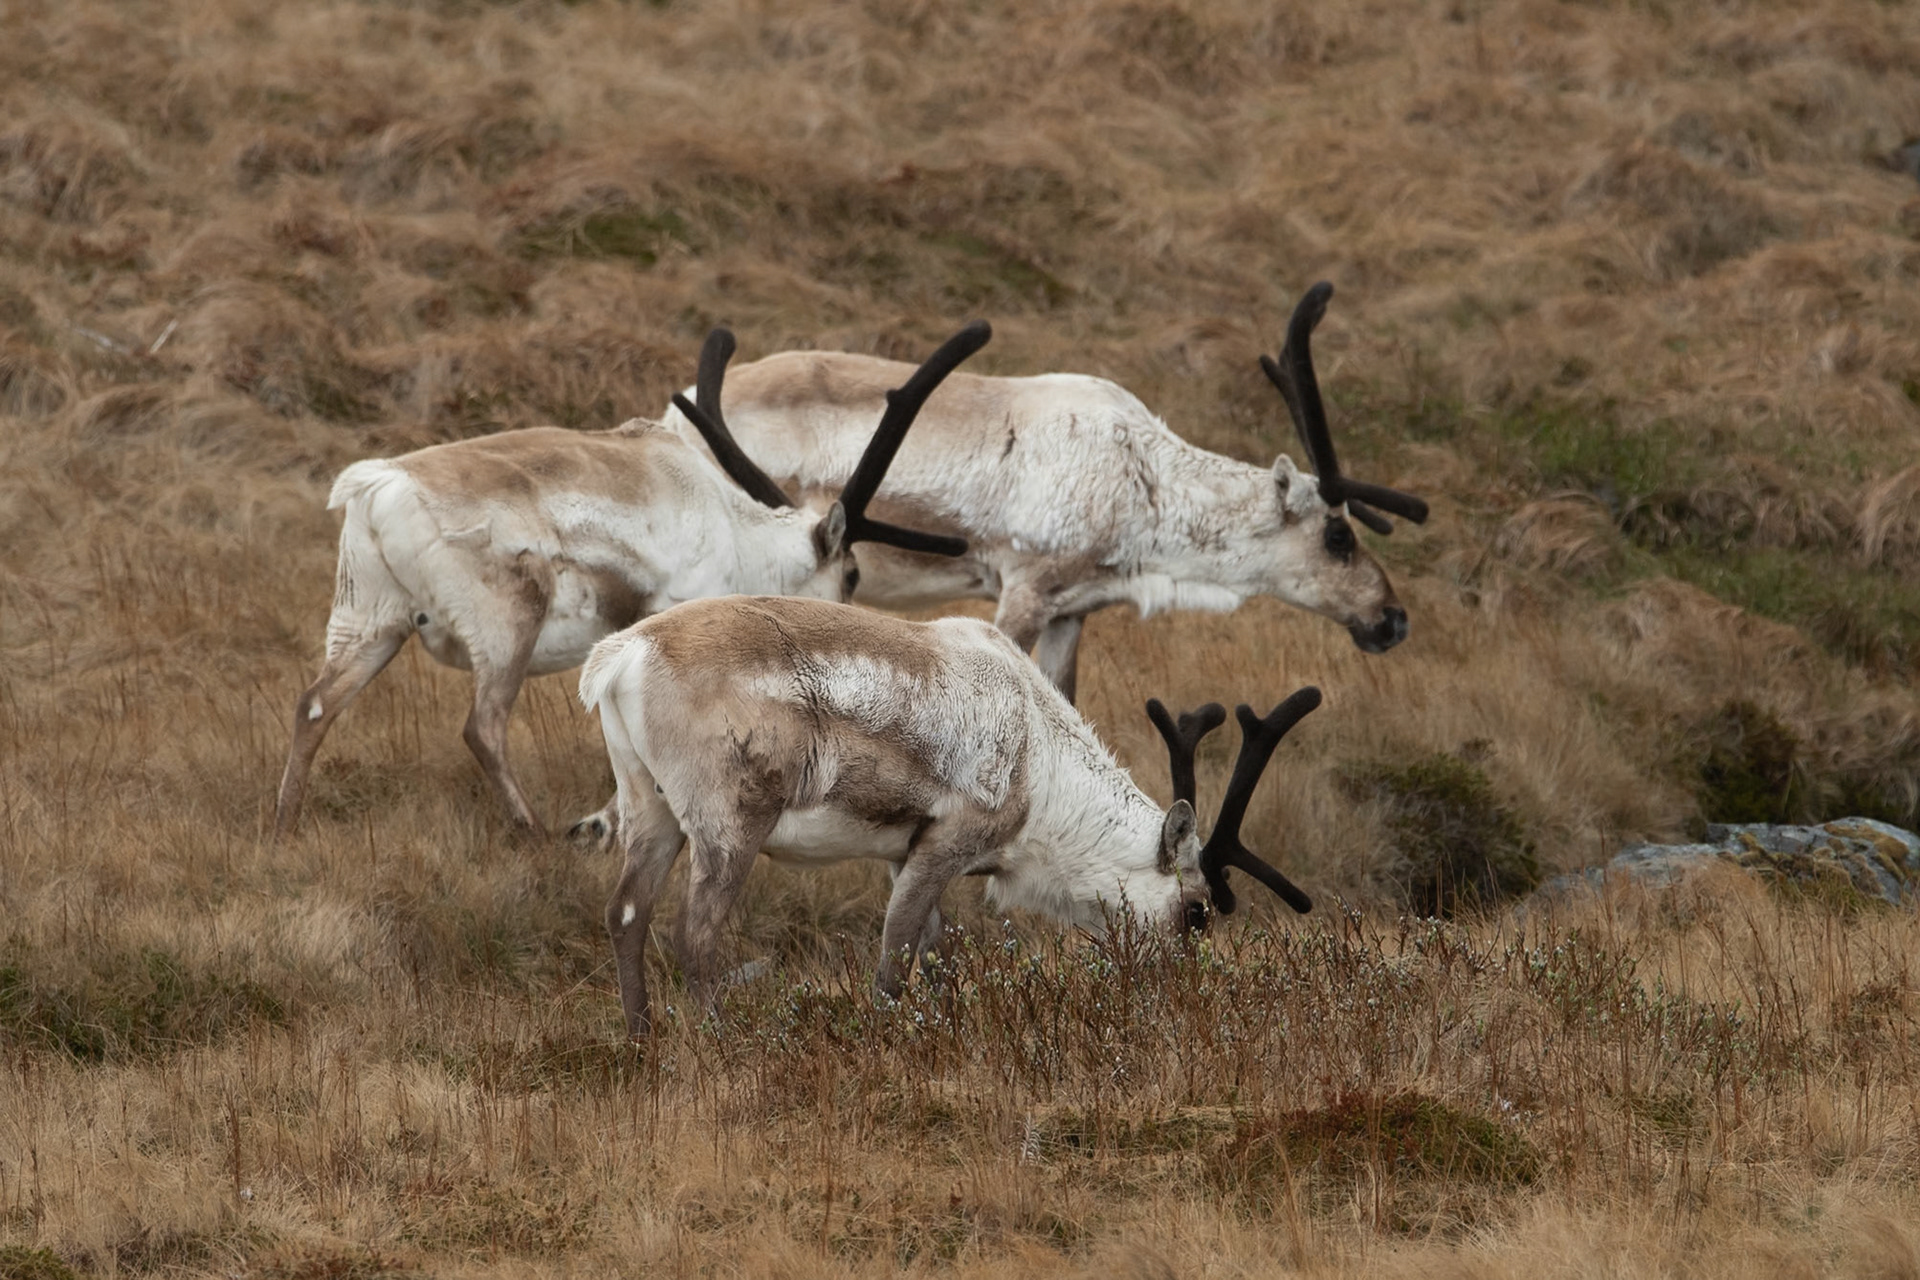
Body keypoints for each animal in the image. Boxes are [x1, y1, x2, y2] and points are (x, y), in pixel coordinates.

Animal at [273, 322, 988, 840]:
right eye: (852, 572)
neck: (733, 527)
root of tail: (375, 486)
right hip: (507, 625)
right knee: (482, 726)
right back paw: (534, 831)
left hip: (369, 621)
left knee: (314, 703)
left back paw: (285, 826)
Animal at [578, 591, 1322, 1039]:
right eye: (1196, 912)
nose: (1179, 996)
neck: (1039, 757)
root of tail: (621, 655)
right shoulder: (948, 843)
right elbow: (895, 960)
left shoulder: (904, 854)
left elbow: (937, 960)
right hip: (730, 822)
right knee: (695, 932)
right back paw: (721, 1041)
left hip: (649, 808)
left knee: (625, 913)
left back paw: (642, 1040)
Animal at [661, 282, 1428, 702]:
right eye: (1337, 535)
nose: (1393, 620)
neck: (1144, 488)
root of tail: (672, 414)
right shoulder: (1023, 588)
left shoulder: (1073, 610)